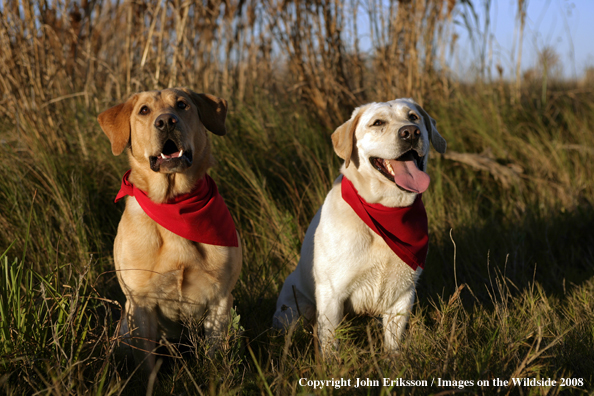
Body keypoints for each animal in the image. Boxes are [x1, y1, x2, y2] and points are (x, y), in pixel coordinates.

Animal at [98, 87, 242, 374]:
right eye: (144, 110)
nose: (166, 122)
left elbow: (214, 356)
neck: (174, 203)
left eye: (182, 105)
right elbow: (145, 362)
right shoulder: (140, 302)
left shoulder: (220, 299)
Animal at [272, 98, 444, 352]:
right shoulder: (332, 295)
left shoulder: (402, 295)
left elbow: (393, 344)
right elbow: (330, 346)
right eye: (378, 123)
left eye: (413, 117)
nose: (411, 132)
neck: (385, 210)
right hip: (294, 310)